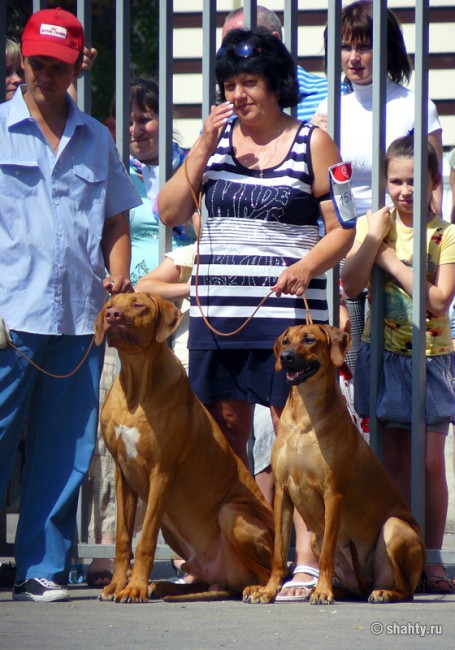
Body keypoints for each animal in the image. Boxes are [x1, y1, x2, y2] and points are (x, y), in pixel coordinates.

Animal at [92, 292, 274, 600]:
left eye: (139, 304)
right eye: (110, 304)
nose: (112, 315)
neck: (136, 385)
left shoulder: (162, 472)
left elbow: (145, 538)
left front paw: (134, 587)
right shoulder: (122, 474)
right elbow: (123, 537)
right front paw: (117, 584)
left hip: (232, 514)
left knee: (268, 573)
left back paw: (261, 590)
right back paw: (164, 587)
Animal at [244, 322, 426, 604]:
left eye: (309, 340)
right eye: (285, 341)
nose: (285, 357)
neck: (304, 415)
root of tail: (367, 583)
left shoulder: (333, 494)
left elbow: (328, 553)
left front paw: (322, 591)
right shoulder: (282, 493)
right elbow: (278, 551)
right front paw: (268, 589)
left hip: (394, 528)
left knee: (405, 589)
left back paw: (382, 592)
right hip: (315, 539)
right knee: (352, 587)